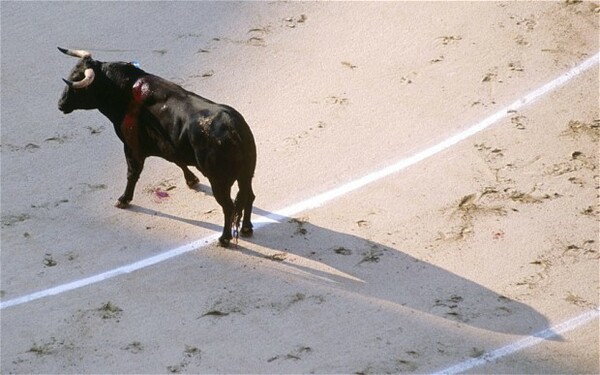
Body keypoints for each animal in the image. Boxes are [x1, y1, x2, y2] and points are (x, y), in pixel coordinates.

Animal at [57, 47, 258, 247]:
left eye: (77, 82)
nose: (60, 104)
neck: (123, 90)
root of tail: (233, 127)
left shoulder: (131, 147)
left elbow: (132, 174)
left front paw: (124, 199)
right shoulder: (170, 145)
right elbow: (177, 160)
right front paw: (192, 180)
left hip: (219, 180)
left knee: (229, 206)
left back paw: (224, 238)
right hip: (246, 173)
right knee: (248, 196)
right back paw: (247, 228)